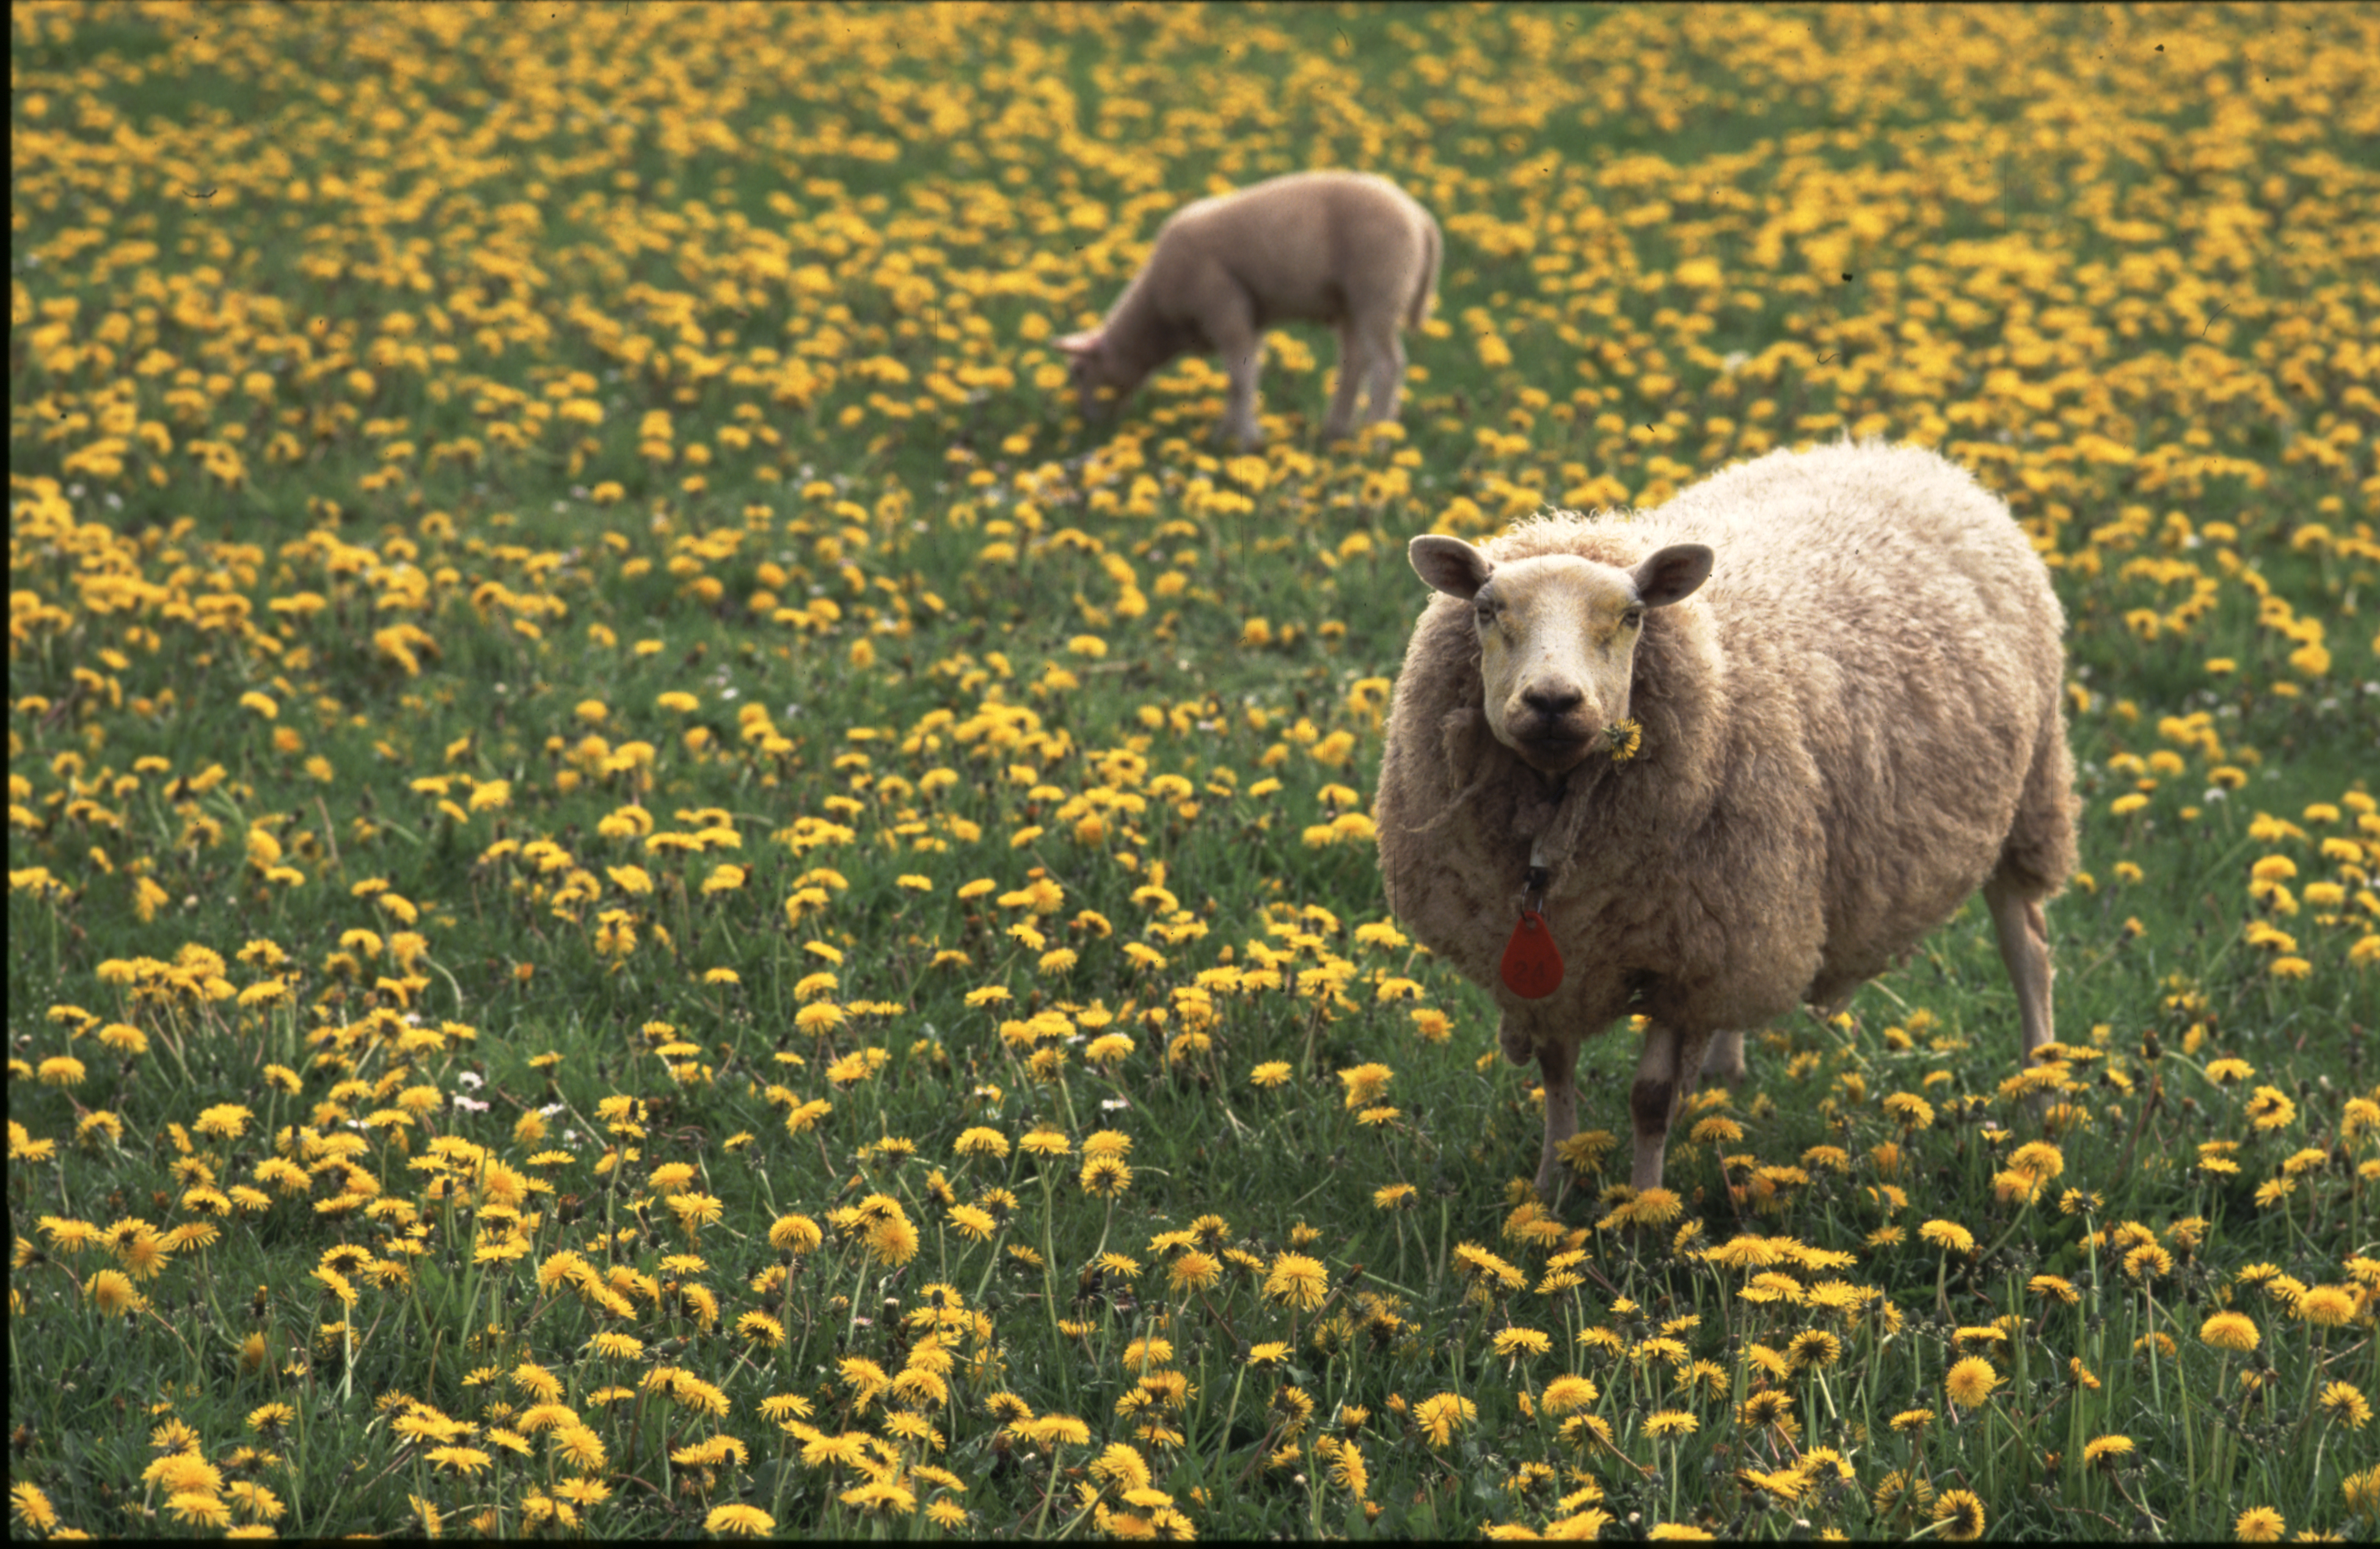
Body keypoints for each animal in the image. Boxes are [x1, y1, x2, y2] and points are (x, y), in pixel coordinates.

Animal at [1056, 170, 1428, 452]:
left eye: (1079, 372)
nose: (1087, 425)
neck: (1158, 315)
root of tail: (1417, 215)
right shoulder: (1250, 319)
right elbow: (1244, 378)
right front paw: (1231, 435)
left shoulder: (1224, 309)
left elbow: (1239, 381)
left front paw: (1241, 442)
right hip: (1351, 304)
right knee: (1355, 362)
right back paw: (1335, 433)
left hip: (1378, 293)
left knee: (1387, 366)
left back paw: (1376, 442)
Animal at [1371, 442, 2075, 1204]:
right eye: (1485, 609)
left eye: (1631, 616)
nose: (1553, 701)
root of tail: (1907, 457)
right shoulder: (1568, 953)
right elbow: (1557, 1073)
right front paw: (1549, 1190)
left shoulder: (1684, 959)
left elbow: (1649, 1099)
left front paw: (1640, 1206)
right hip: (1754, 903)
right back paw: (1721, 1067)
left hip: (2023, 801)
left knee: (2028, 950)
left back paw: (2040, 1090)